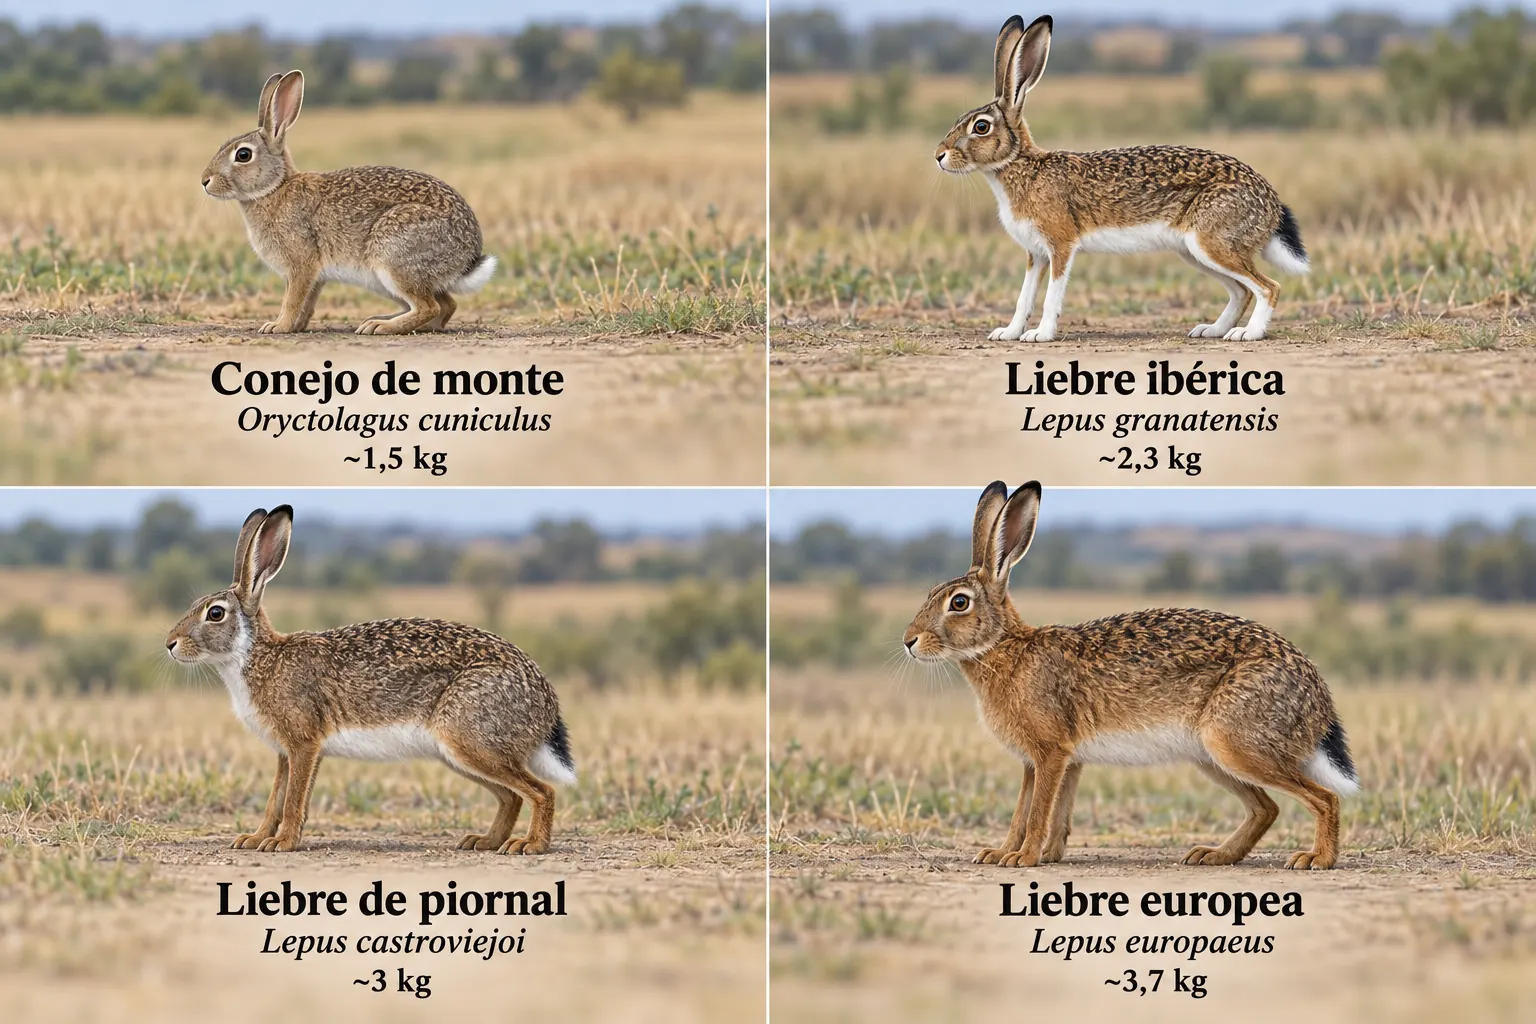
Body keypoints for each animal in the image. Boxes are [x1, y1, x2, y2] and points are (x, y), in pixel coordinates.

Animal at [165, 505, 575, 855]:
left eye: (215, 613)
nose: (170, 644)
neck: (254, 655)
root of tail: (546, 707)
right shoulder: (285, 752)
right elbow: (275, 799)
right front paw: (254, 839)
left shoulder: (304, 744)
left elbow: (293, 799)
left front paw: (282, 843)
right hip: (459, 752)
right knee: (512, 796)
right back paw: (485, 841)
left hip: (469, 738)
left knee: (542, 792)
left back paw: (529, 845)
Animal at [200, 70, 497, 336]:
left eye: (243, 155)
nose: (205, 181)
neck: (274, 188)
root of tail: (467, 255)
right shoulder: (315, 276)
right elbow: (307, 303)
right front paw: (295, 327)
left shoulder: (301, 264)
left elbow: (292, 300)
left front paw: (277, 326)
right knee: (445, 305)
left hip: (393, 256)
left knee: (429, 306)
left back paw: (379, 326)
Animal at [902, 480, 1357, 870]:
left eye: (959, 603)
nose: (909, 641)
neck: (1004, 647)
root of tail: (1317, 701)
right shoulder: (1057, 760)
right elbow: (1036, 812)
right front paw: (1014, 854)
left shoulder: (1050, 752)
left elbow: (1035, 813)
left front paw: (1022, 858)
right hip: (1211, 755)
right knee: (1268, 807)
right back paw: (1213, 855)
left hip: (1235, 742)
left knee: (1325, 799)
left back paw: (1316, 859)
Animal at [935, 15, 1309, 343]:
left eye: (980, 126)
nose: (939, 155)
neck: (1021, 165)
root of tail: (1272, 205)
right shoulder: (1036, 254)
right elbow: (1023, 296)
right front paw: (1009, 332)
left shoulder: (1061, 244)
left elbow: (1051, 294)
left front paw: (1040, 335)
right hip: (1195, 251)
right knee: (1242, 290)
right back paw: (1212, 330)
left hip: (1213, 242)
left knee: (1267, 287)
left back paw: (1248, 334)